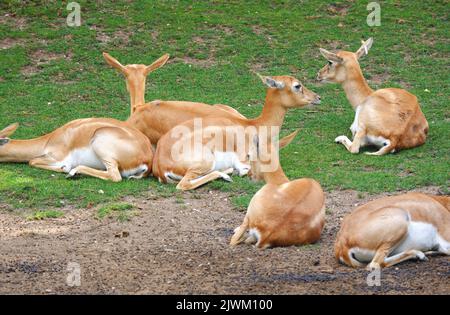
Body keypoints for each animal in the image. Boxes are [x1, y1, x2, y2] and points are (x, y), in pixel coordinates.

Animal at [0, 118, 153, 183]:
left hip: (100, 142)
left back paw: (74, 173)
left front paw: (65, 169)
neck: (47, 141)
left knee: (115, 176)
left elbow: (32, 161)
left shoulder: (57, 157)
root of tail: (148, 159)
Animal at [153, 74, 322, 191]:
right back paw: (226, 175)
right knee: (184, 184)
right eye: (297, 85)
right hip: (205, 162)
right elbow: (245, 170)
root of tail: (160, 166)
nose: (318, 97)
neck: (255, 126)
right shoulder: (244, 160)